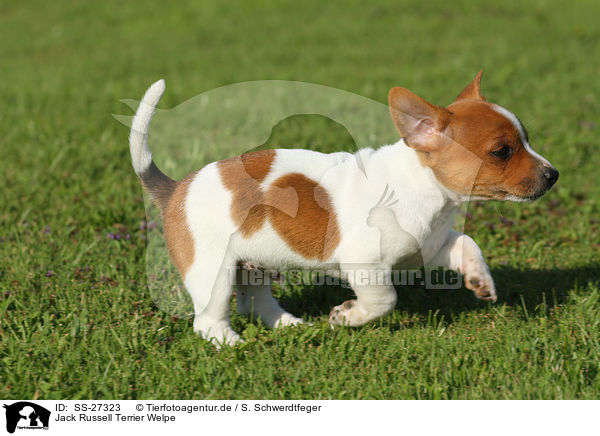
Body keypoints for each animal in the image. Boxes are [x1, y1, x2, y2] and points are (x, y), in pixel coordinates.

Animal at [129, 71, 560, 346]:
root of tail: (176, 188)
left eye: (526, 140)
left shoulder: (433, 245)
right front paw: (348, 316)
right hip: (213, 270)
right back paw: (235, 345)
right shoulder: (365, 265)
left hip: (254, 263)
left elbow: (469, 245)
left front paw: (480, 280)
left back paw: (289, 325)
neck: (424, 191)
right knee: (208, 321)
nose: (553, 175)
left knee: (255, 302)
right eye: (502, 152)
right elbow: (384, 300)